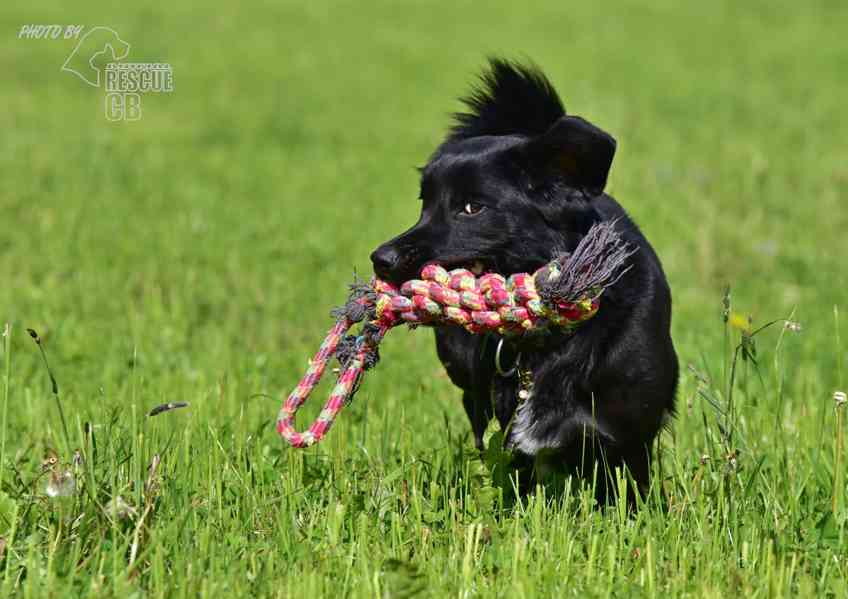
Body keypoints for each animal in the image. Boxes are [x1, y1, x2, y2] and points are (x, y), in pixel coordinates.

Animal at [372, 59, 676, 502]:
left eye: (471, 208)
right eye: (424, 204)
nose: (381, 259)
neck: (552, 338)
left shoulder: (628, 434)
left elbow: (629, 487)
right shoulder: (509, 425)